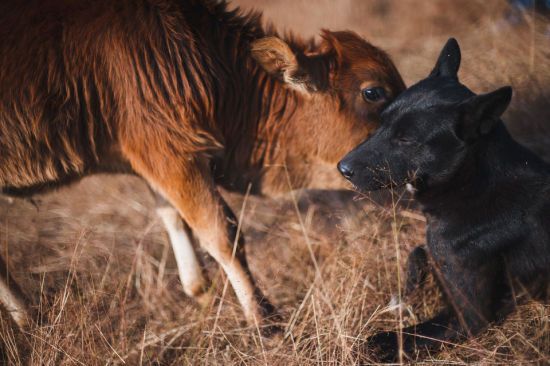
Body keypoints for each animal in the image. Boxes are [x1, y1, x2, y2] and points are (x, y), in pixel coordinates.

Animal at [0, 0, 406, 328]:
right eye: (373, 92)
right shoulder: (170, 152)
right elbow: (221, 232)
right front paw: (265, 320)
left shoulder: (157, 156)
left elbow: (176, 219)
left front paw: (203, 294)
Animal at [338, 38, 550, 360]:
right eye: (382, 122)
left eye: (406, 140)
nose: (342, 169)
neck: (471, 181)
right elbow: (419, 250)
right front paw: (406, 289)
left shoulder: (469, 318)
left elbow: (392, 339)